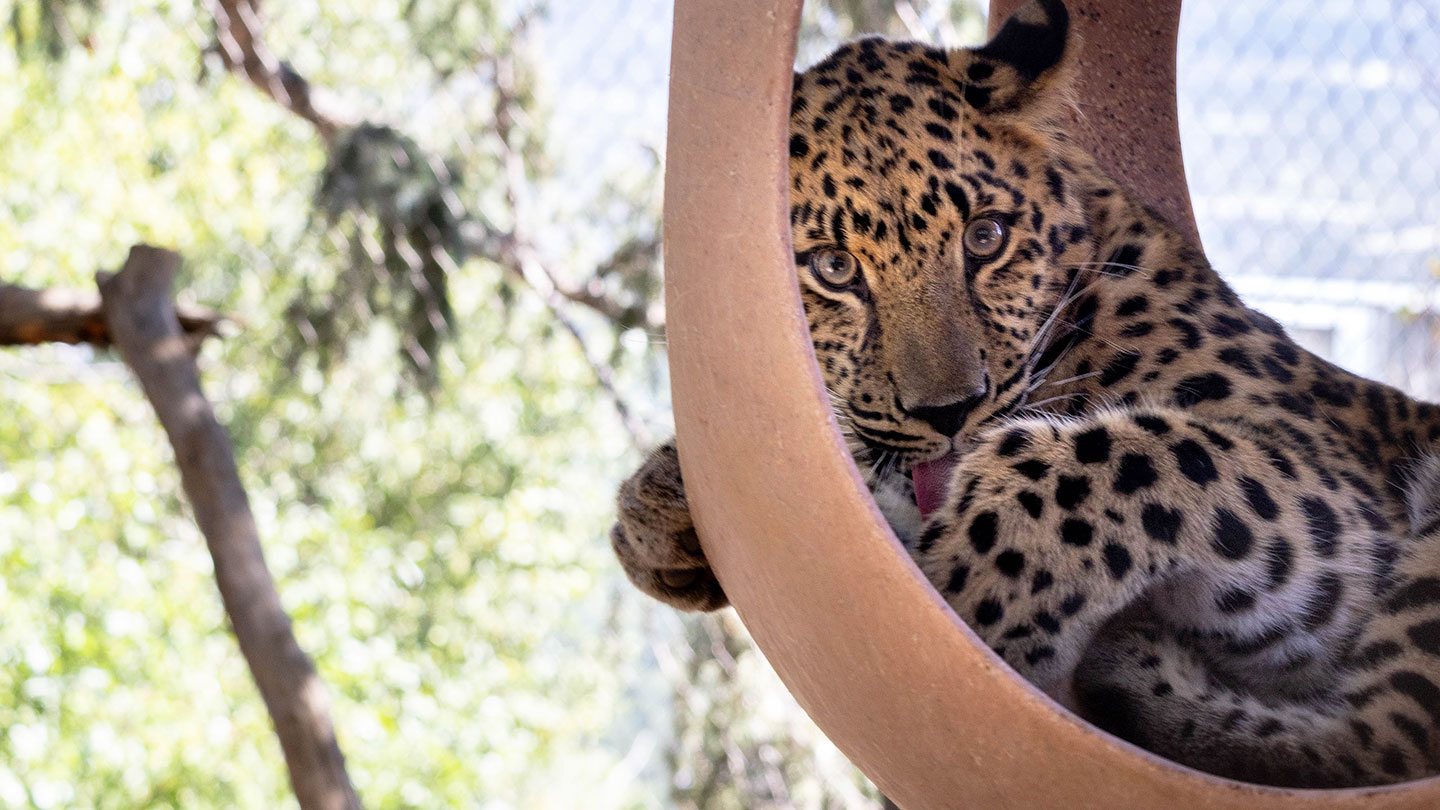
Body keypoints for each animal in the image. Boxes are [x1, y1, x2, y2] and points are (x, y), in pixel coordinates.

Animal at [610, 0, 1440, 788]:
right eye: (834, 268)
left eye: (987, 238)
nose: (949, 412)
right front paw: (660, 510)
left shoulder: (1335, 500)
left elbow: (1135, 452)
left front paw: (976, 589)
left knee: (1379, 740)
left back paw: (1134, 671)